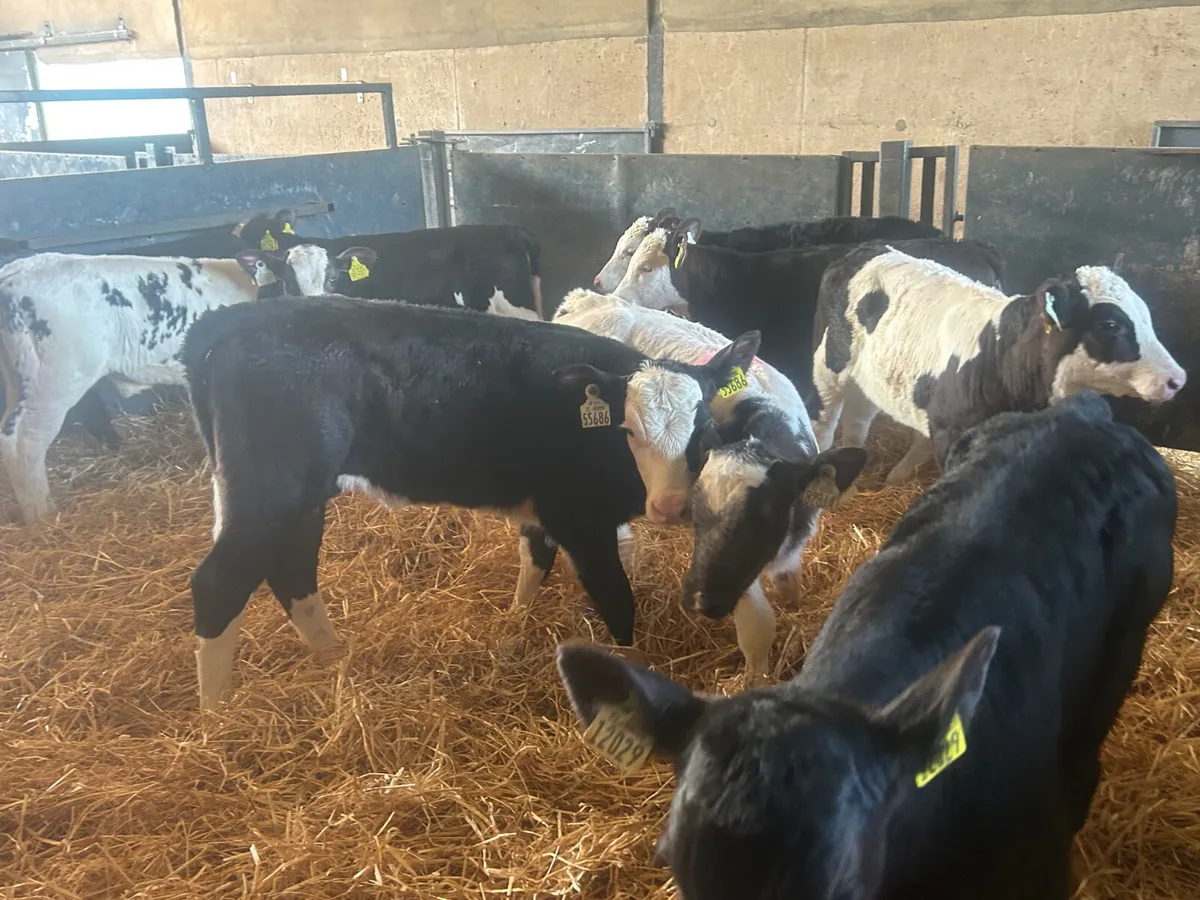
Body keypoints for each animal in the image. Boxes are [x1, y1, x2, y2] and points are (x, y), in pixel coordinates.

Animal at [180, 294, 760, 708]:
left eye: (705, 429)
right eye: (629, 431)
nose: (670, 505)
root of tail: (233, 318)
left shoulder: (547, 509)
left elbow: (534, 561)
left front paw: (516, 624)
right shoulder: (581, 521)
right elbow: (616, 599)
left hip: (298, 496)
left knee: (292, 569)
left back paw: (332, 657)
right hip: (269, 489)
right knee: (219, 582)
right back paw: (215, 716)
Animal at [507, 289, 866, 679]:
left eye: (764, 516)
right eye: (698, 517)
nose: (698, 602)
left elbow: (790, 582)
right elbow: (758, 625)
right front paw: (755, 678)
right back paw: (518, 614)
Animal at [811, 245, 1187, 483]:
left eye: (1146, 315)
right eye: (1110, 325)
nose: (1178, 379)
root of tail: (870, 248)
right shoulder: (951, 435)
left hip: (870, 378)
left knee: (859, 420)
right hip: (828, 364)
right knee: (825, 423)